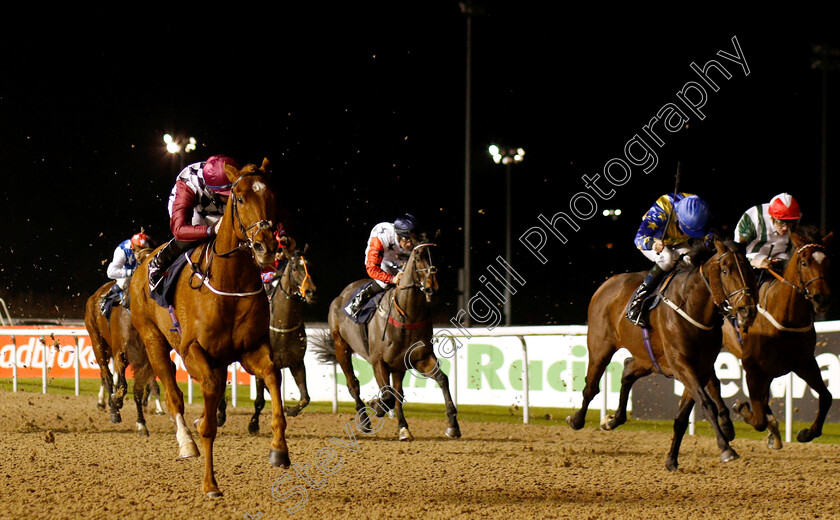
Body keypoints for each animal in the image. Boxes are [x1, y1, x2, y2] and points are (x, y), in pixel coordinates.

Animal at [130, 157, 290, 496]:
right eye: (239, 198)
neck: (231, 280)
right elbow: (208, 416)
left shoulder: (252, 349)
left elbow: (273, 379)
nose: (266, 246)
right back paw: (186, 443)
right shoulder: (192, 350)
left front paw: (279, 451)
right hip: (154, 340)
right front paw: (210, 483)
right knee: (173, 394)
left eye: (273, 197)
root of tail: (141, 264)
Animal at [249, 244, 318, 434]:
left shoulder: (297, 363)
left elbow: (305, 397)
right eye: (294, 268)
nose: (311, 292)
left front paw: (291, 410)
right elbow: (259, 401)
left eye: (310, 265)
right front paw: (253, 424)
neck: (281, 327)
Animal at [314, 242, 460, 440]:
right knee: (353, 385)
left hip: (397, 366)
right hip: (341, 346)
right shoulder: (379, 362)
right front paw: (376, 406)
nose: (432, 287)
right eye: (418, 257)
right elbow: (388, 396)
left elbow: (442, 379)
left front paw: (452, 425)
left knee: (397, 392)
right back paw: (364, 420)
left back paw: (403, 426)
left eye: (437, 255)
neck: (406, 316)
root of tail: (341, 296)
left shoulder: (419, 358)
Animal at [568, 238, 756, 474]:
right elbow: (706, 404)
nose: (747, 310)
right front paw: (726, 448)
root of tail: (607, 284)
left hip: (648, 358)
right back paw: (576, 420)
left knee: (627, 370)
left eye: (749, 269)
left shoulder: (700, 368)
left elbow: (683, 416)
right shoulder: (682, 365)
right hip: (600, 347)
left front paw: (672, 460)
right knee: (591, 386)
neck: (691, 306)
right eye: (725, 270)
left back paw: (612, 420)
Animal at [720, 230, 832, 448]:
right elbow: (758, 419)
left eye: (827, 262)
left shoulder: (804, 363)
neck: (786, 316)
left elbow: (826, 396)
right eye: (804, 262)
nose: (821, 299)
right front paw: (740, 408)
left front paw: (807, 433)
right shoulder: (753, 368)